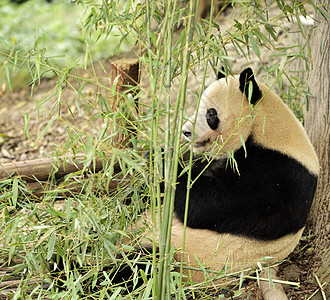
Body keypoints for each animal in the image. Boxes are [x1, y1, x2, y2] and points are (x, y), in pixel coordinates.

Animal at [132, 67, 320, 282]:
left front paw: (161, 157)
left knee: (141, 264)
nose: (186, 132)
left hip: (181, 259)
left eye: (211, 113)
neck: (269, 129)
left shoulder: (274, 176)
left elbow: (203, 204)